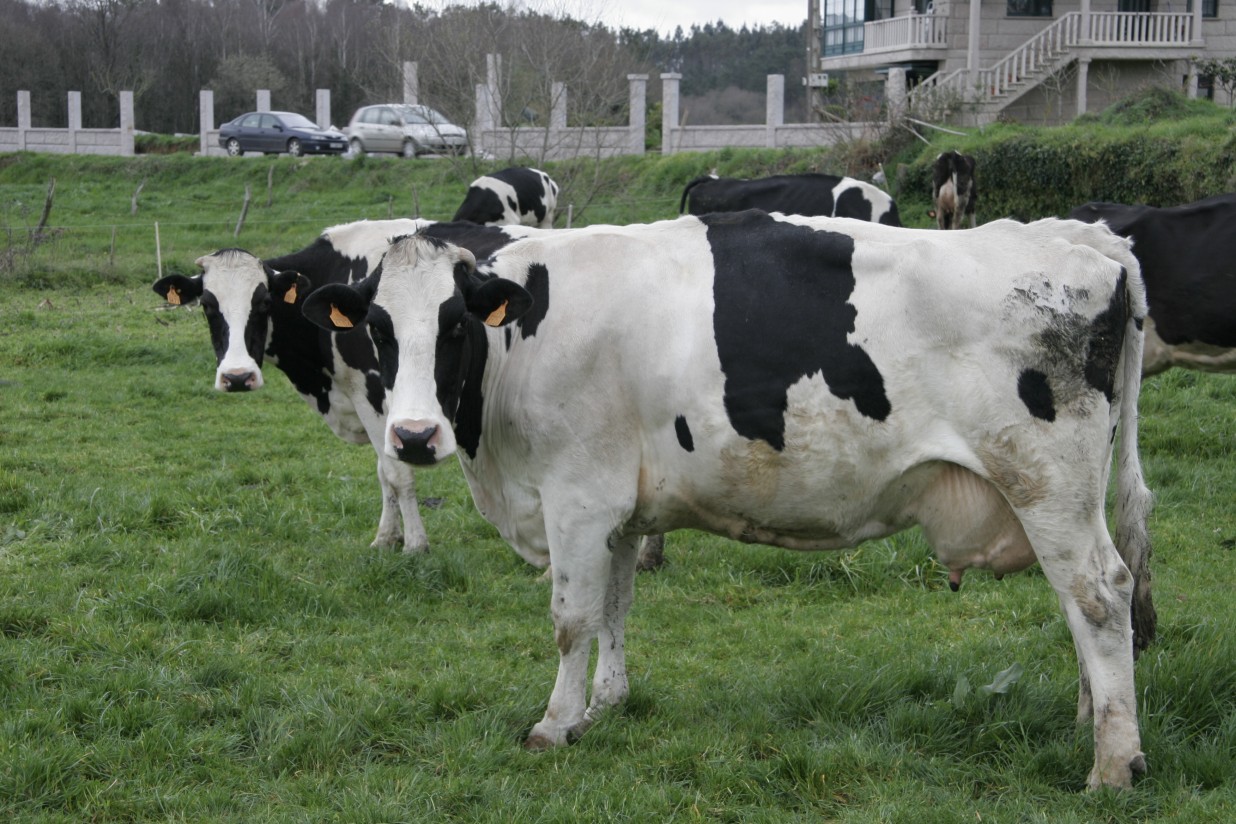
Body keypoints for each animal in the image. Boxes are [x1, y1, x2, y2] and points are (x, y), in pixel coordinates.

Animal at [149, 218, 536, 553]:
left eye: (263, 303)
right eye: (207, 306)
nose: (238, 377)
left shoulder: (373, 394)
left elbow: (396, 472)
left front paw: (414, 545)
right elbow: (383, 472)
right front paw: (387, 538)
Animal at [304, 210, 1151, 790]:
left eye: (454, 326)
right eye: (376, 330)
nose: (414, 436)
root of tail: (1082, 237)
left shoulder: (577, 497)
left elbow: (571, 619)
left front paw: (553, 723)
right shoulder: (618, 506)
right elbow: (614, 607)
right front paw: (605, 705)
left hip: (1047, 482)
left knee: (1100, 594)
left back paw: (1113, 762)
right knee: (1084, 599)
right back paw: (1091, 720)